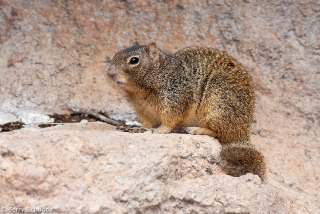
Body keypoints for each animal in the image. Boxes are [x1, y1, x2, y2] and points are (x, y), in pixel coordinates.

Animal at [108, 41, 268, 182]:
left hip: (218, 104)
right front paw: (137, 128)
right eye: (115, 55)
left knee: (219, 133)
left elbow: (169, 121)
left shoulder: (174, 99)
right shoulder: (143, 110)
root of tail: (243, 133)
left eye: (134, 60)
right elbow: (147, 123)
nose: (109, 73)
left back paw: (196, 130)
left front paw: (160, 130)